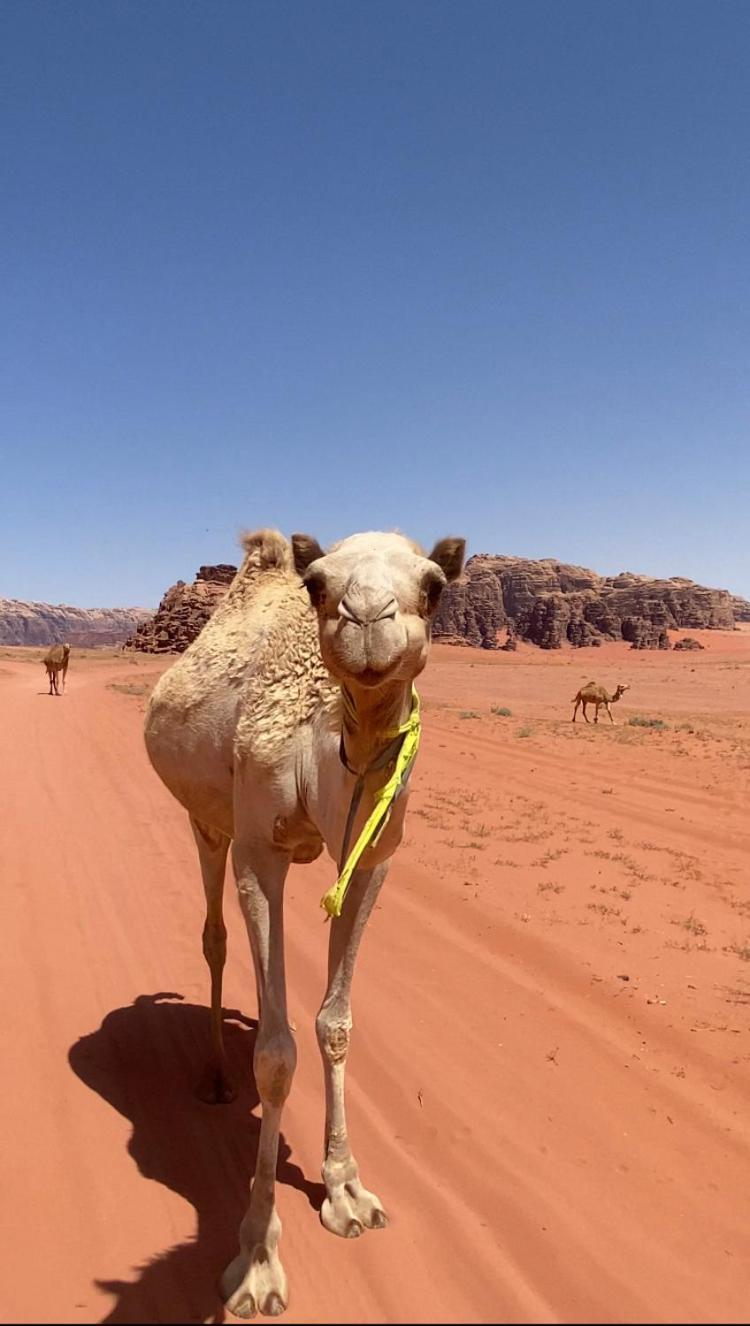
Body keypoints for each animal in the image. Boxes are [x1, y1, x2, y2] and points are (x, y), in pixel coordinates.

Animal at [143, 525, 466, 1315]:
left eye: (435, 586)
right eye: (317, 585)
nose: (368, 617)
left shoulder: (375, 858)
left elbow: (334, 1023)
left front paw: (346, 1189)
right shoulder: (261, 851)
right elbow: (277, 1054)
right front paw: (257, 1258)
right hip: (208, 820)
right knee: (214, 938)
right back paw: (215, 1076)